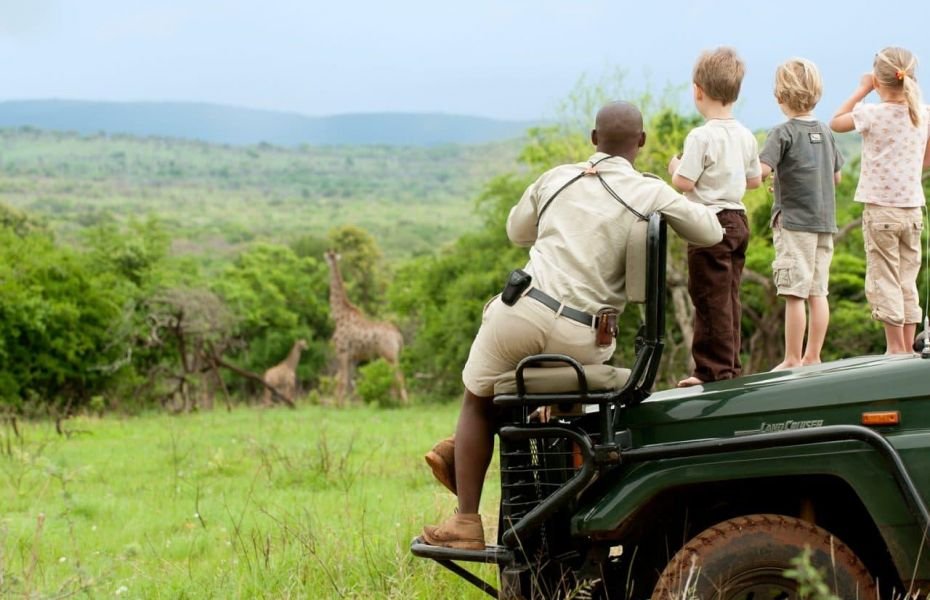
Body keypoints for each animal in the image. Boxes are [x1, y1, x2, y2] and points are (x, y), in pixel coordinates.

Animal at [323, 250, 408, 406]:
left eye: (328, 257)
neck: (339, 315)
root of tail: (398, 336)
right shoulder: (352, 357)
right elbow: (349, 382)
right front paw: (346, 405)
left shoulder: (342, 352)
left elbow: (341, 380)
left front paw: (338, 405)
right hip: (393, 356)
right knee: (396, 377)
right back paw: (395, 402)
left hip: (389, 356)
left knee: (398, 376)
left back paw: (404, 403)